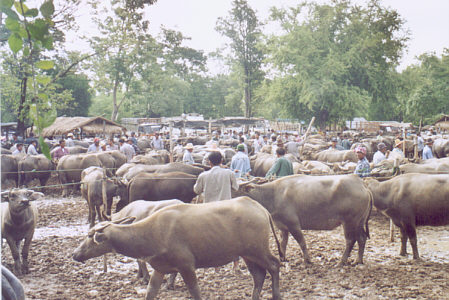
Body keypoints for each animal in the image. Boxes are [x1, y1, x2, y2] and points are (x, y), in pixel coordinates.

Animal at [75, 197, 282, 300]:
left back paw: (276, 295)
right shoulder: (160, 269)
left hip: (258, 250)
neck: (152, 233)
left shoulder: (186, 267)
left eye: (89, 237)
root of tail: (259, 207)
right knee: (259, 276)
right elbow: (150, 292)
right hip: (247, 254)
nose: (75, 254)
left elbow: (195, 292)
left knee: (274, 265)